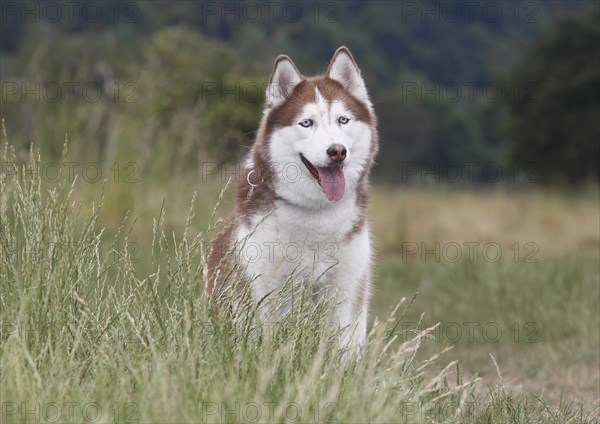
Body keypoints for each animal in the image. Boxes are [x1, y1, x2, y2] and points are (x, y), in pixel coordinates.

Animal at [205, 46, 376, 348]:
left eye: (343, 120)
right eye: (306, 123)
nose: (337, 151)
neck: (315, 214)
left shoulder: (347, 291)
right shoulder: (259, 286)